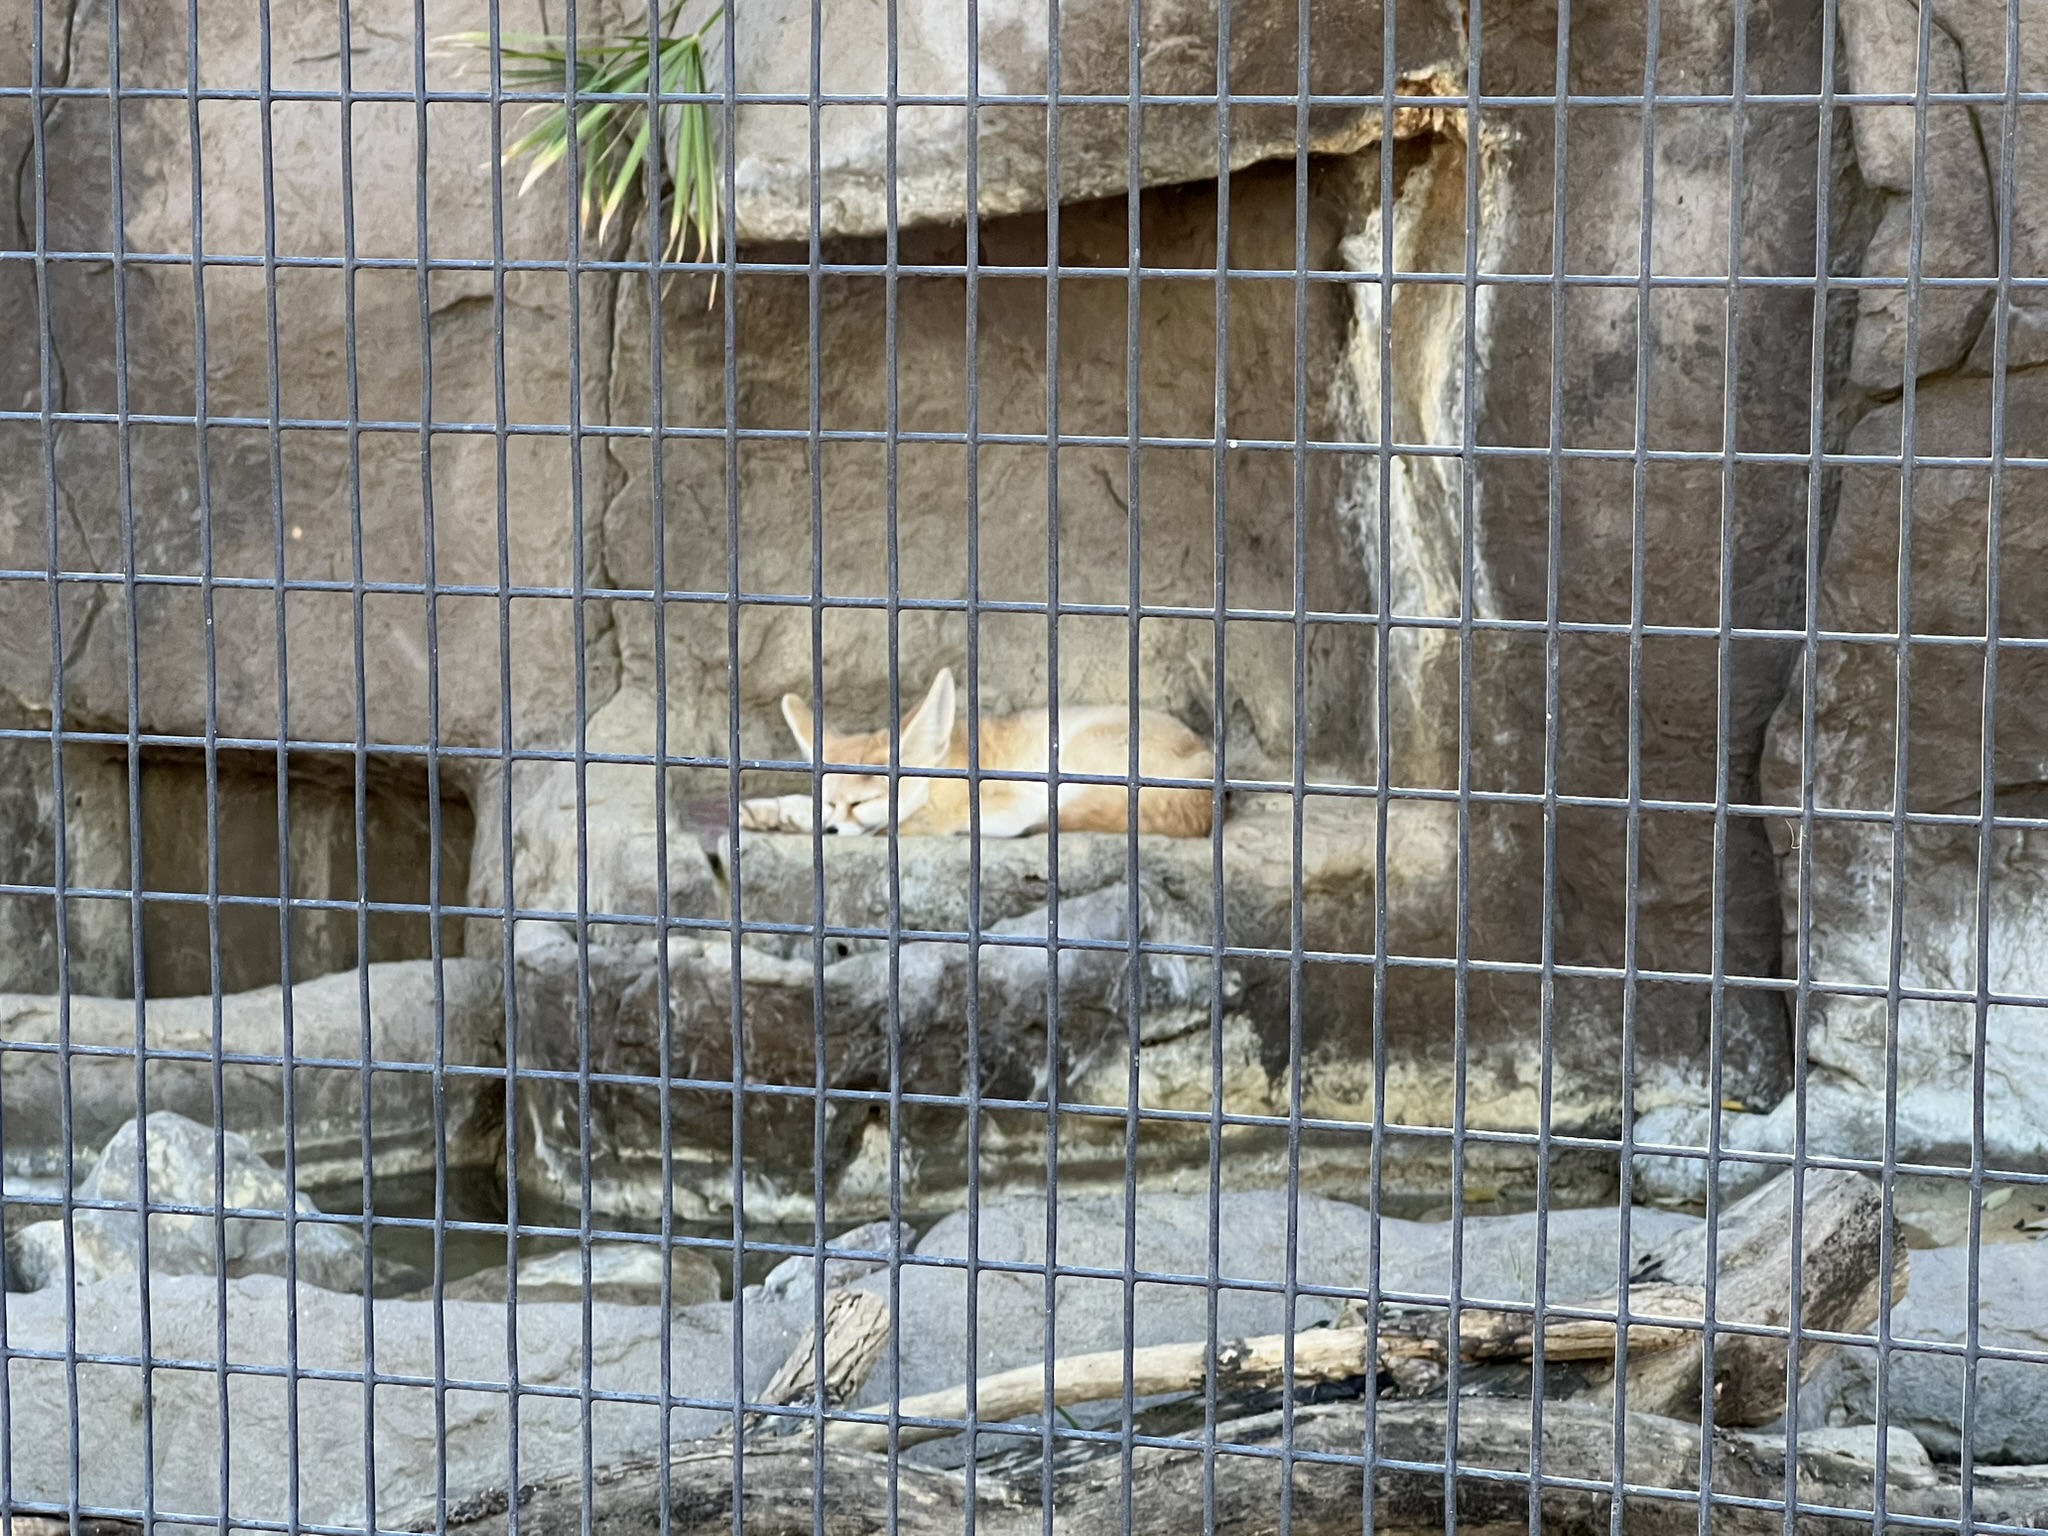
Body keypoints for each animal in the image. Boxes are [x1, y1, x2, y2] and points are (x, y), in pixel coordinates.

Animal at [739, 667, 1215, 838]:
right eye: (830, 804)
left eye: (861, 803)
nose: (830, 832)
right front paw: (776, 811)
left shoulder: (1018, 801)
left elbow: (906, 823)